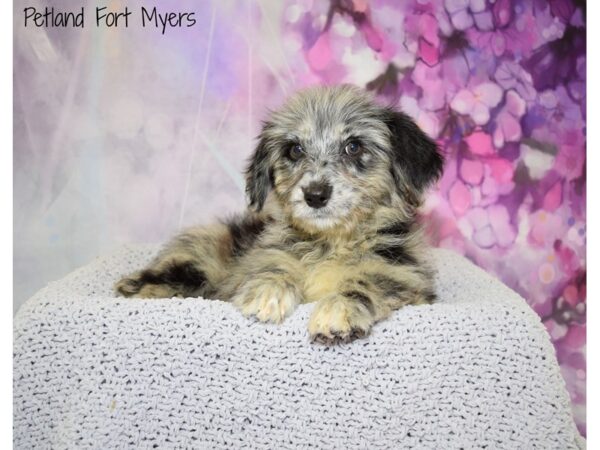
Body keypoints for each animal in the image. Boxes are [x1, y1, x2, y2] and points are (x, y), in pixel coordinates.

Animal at [116, 84, 446, 342]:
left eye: (353, 147)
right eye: (294, 150)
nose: (315, 195)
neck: (330, 243)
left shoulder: (405, 278)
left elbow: (371, 281)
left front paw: (337, 308)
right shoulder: (258, 258)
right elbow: (273, 264)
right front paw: (269, 291)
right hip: (194, 264)